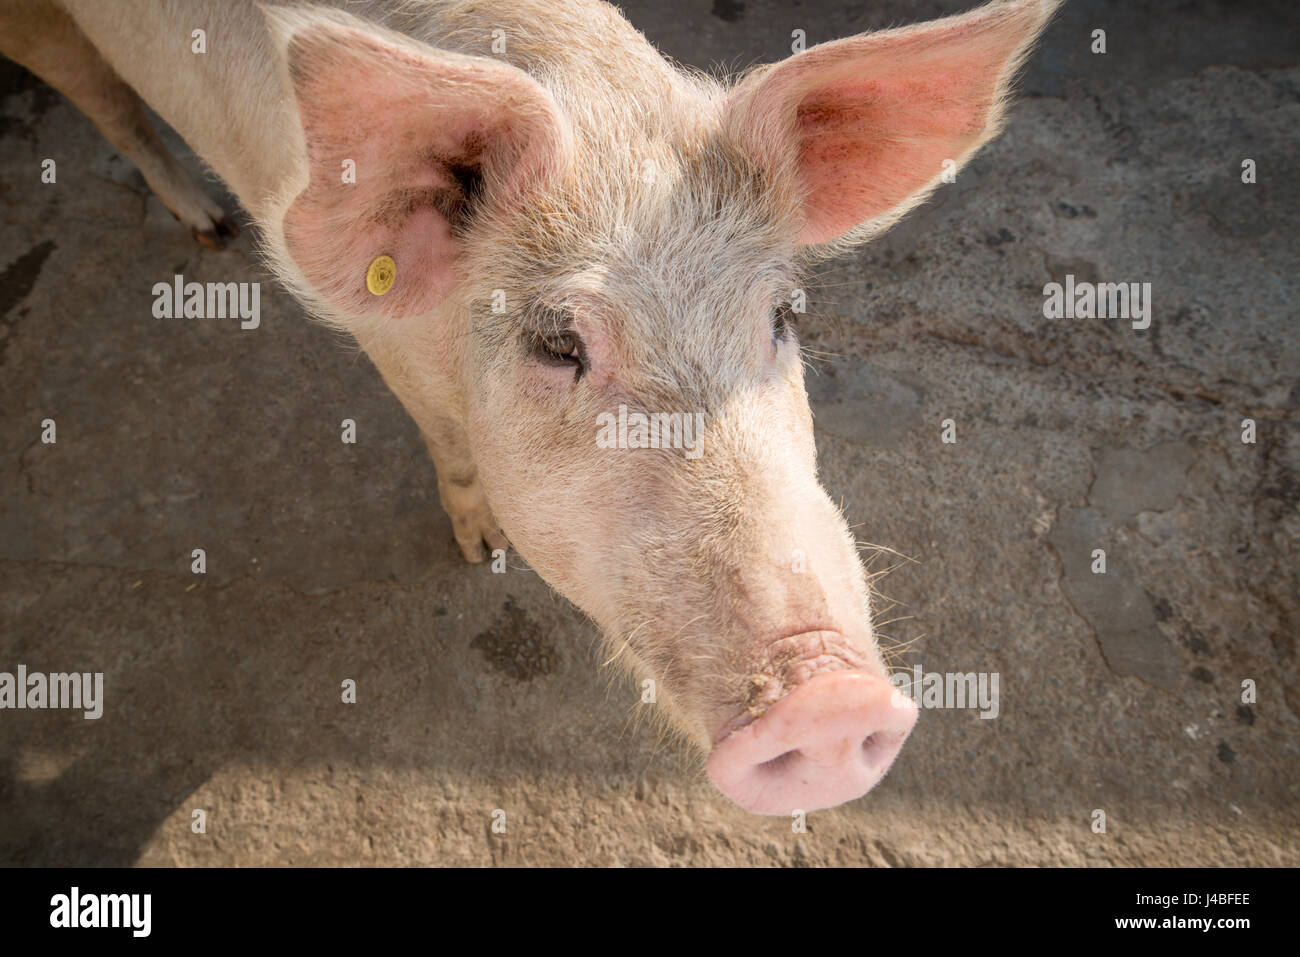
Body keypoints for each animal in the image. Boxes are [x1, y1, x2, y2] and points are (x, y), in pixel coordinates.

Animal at [0, 0, 1055, 816]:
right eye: (558, 344)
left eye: (783, 317)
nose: (832, 700)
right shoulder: (388, 345)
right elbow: (449, 443)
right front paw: (482, 549)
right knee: (107, 103)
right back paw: (207, 227)